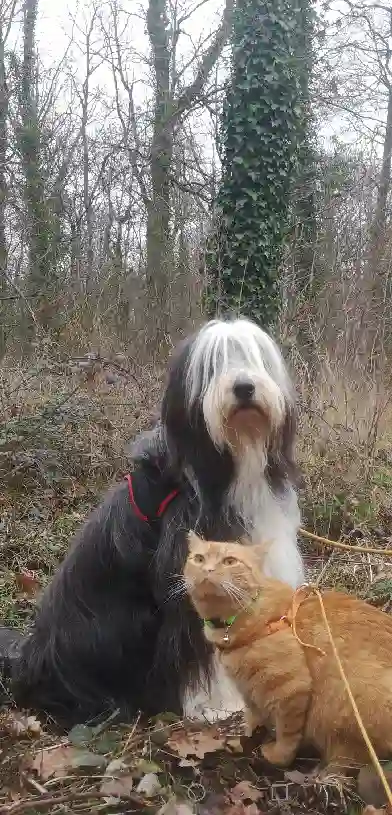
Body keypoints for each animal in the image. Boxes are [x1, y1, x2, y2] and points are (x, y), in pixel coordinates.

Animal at [3, 318, 304, 728]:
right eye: (212, 365)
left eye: (255, 355)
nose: (244, 387)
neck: (228, 467)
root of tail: (27, 659)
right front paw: (216, 704)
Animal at [184, 528, 392, 772]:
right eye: (199, 559)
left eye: (229, 561)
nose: (207, 569)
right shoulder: (249, 692)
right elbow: (253, 718)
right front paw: (247, 739)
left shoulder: (291, 690)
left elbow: (287, 734)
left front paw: (277, 756)